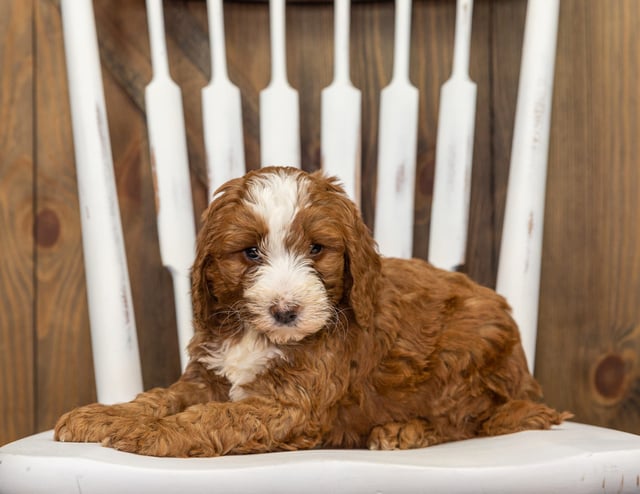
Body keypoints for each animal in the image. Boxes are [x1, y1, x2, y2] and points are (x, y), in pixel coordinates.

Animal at [53, 166, 564, 456]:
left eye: (317, 249)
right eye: (250, 253)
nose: (285, 311)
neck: (256, 334)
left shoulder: (289, 405)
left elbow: (211, 418)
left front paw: (149, 433)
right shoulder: (207, 376)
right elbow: (161, 397)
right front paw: (106, 416)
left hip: (468, 349)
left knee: (467, 421)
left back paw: (404, 431)